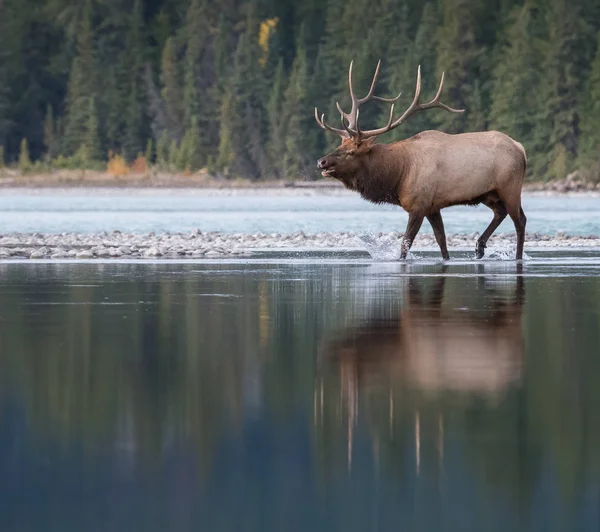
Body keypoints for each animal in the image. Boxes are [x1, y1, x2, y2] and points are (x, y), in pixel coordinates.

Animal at [314, 61, 524, 260]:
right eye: (339, 146)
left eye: (351, 152)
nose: (321, 162)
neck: (398, 175)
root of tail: (520, 147)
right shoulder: (432, 207)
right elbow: (442, 242)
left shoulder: (418, 205)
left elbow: (405, 244)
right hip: (488, 193)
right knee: (500, 212)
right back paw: (479, 246)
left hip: (510, 188)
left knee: (520, 220)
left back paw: (516, 256)